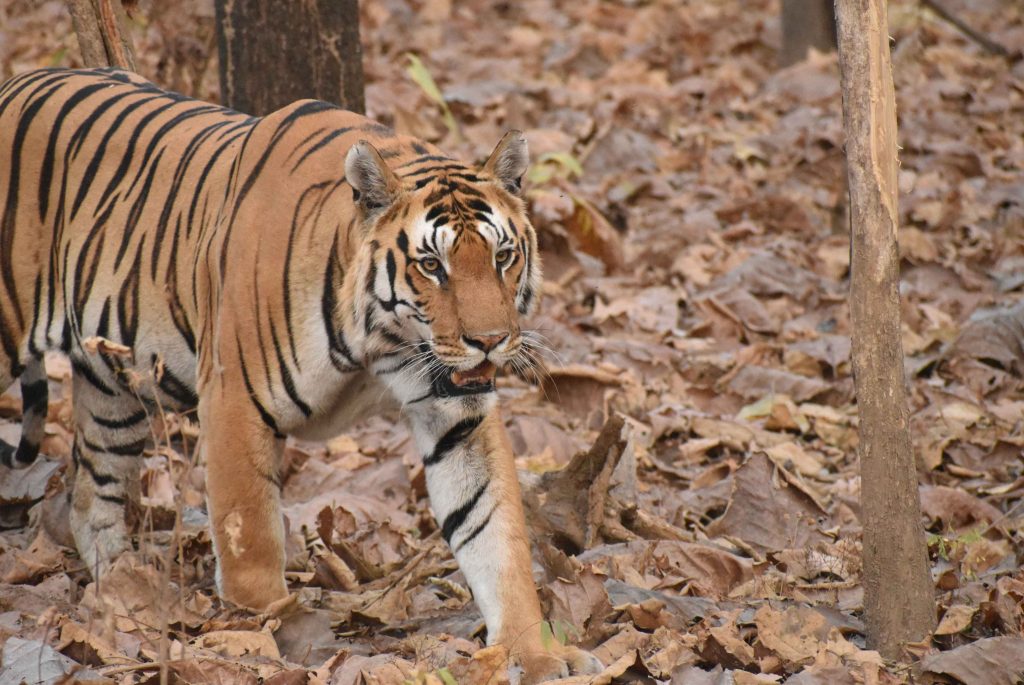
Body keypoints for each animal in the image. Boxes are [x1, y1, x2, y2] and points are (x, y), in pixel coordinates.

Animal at [0, 68, 602, 679]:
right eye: (432, 265)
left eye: (503, 257)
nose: (489, 342)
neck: (382, 342)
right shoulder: (234, 399)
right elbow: (250, 534)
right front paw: (263, 636)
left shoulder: (456, 412)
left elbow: (493, 530)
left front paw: (534, 653)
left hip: (111, 391)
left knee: (90, 493)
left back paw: (121, 590)